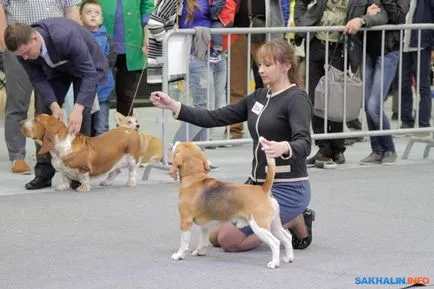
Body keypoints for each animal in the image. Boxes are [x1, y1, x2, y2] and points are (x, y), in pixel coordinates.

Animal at [168, 140, 294, 268]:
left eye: (180, 145)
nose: (176, 141)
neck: (194, 177)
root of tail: (262, 190)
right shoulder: (204, 225)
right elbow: (203, 240)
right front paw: (200, 251)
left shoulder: (185, 221)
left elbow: (184, 242)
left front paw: (179, 255)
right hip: (274, 225)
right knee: (287, 237)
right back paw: (288, 258)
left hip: (259, 226)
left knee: (275, 242)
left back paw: (274, 263)